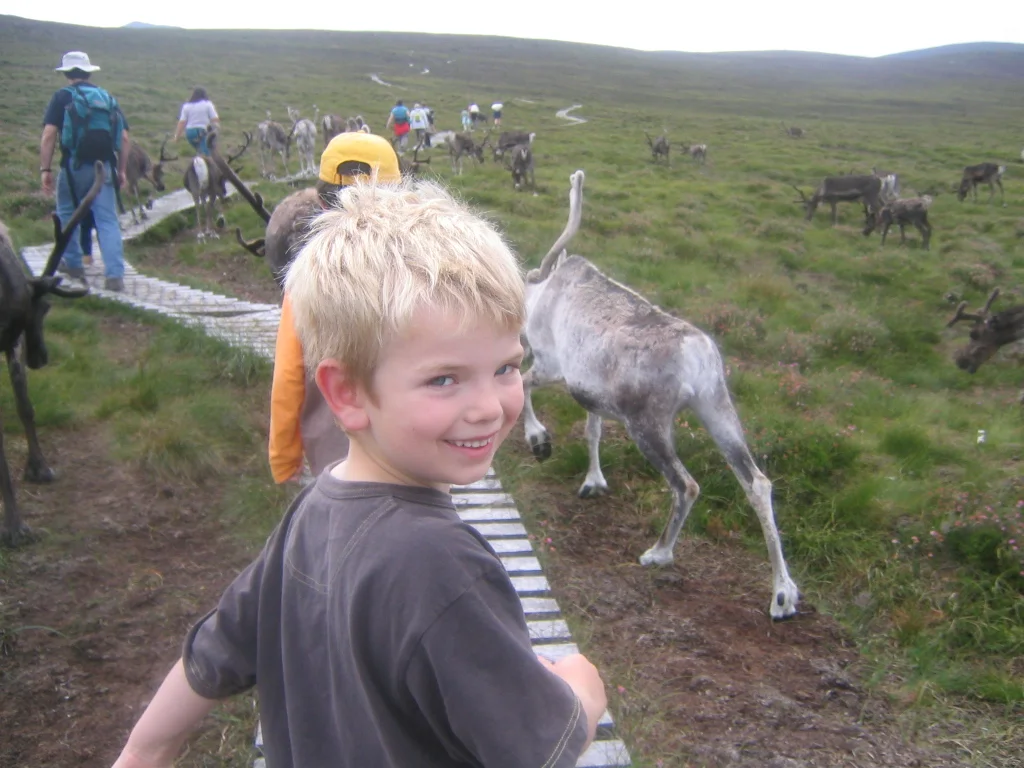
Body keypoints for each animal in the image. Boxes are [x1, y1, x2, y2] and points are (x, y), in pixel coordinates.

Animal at [0, 163, 101, 546]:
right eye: (42, 307)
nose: (40, 357)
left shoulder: (7, 342)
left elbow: (24, 405)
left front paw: (39, 467)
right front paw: (14, 525)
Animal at [521, 170, 800, 620]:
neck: (545, 291)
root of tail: (697, 356)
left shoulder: (551, 366)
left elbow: (522, 385)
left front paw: (539, 441)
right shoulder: (591, 395)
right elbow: (593, 432)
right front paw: (593, 481)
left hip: (647, 422)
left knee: (686, 484)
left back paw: (659, 552)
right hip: (716, 406)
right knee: (757, 482)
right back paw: (783, 594)